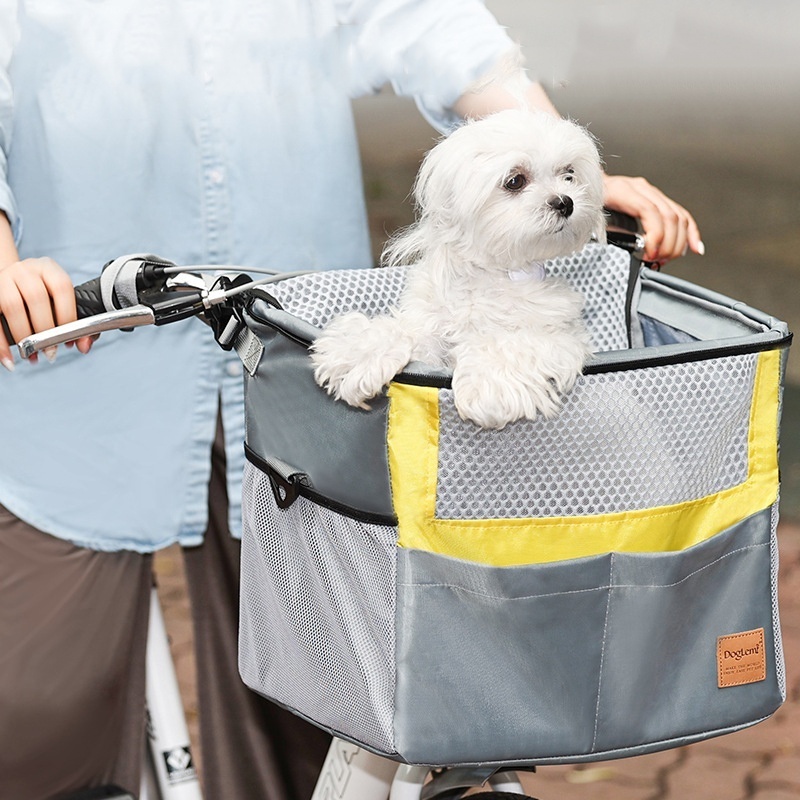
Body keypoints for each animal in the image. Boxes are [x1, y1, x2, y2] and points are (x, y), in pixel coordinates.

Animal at [312, 111, 608, 432]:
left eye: (569, 174)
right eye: (515, 181)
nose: (565, 202)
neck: (493, 275)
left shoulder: (561, 337)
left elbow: (509, 345)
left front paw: (489, 386)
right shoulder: (430, 334)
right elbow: (403, 330)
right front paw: (359, 355)